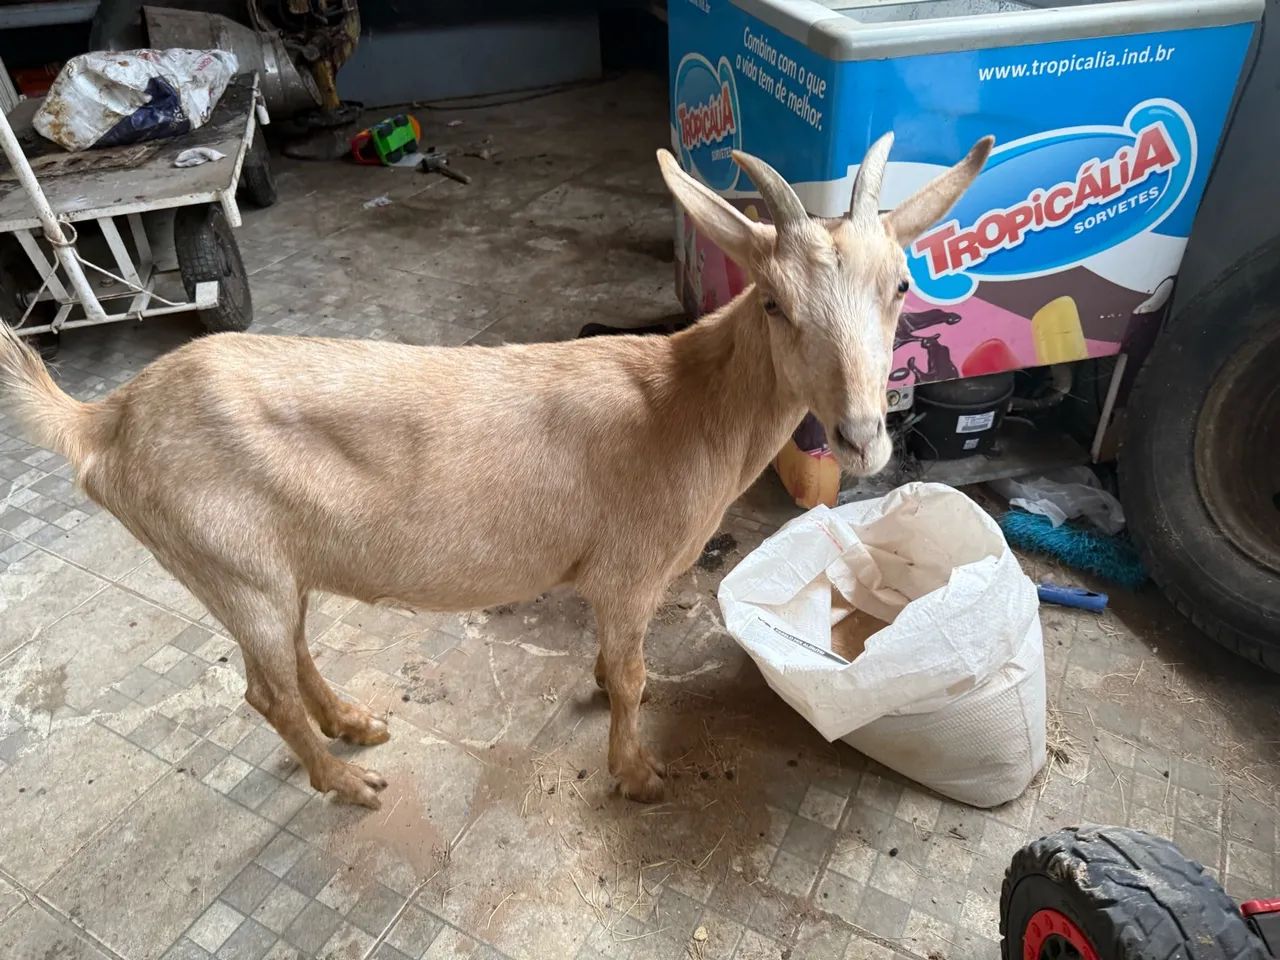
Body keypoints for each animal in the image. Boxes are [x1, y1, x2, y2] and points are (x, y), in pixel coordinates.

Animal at [0, 133, 990, 808]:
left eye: (902, 285)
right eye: (777, 303)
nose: (861, 437)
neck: (688, 402)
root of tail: (104, 424)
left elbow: (615, 666)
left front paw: (598, 691)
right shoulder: (630, 571)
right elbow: (637, 675)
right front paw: (636, 773)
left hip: (267, 569)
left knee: (293, 652)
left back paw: (353, 723)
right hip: (227, 560)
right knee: (262, 689)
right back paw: (347, 783)